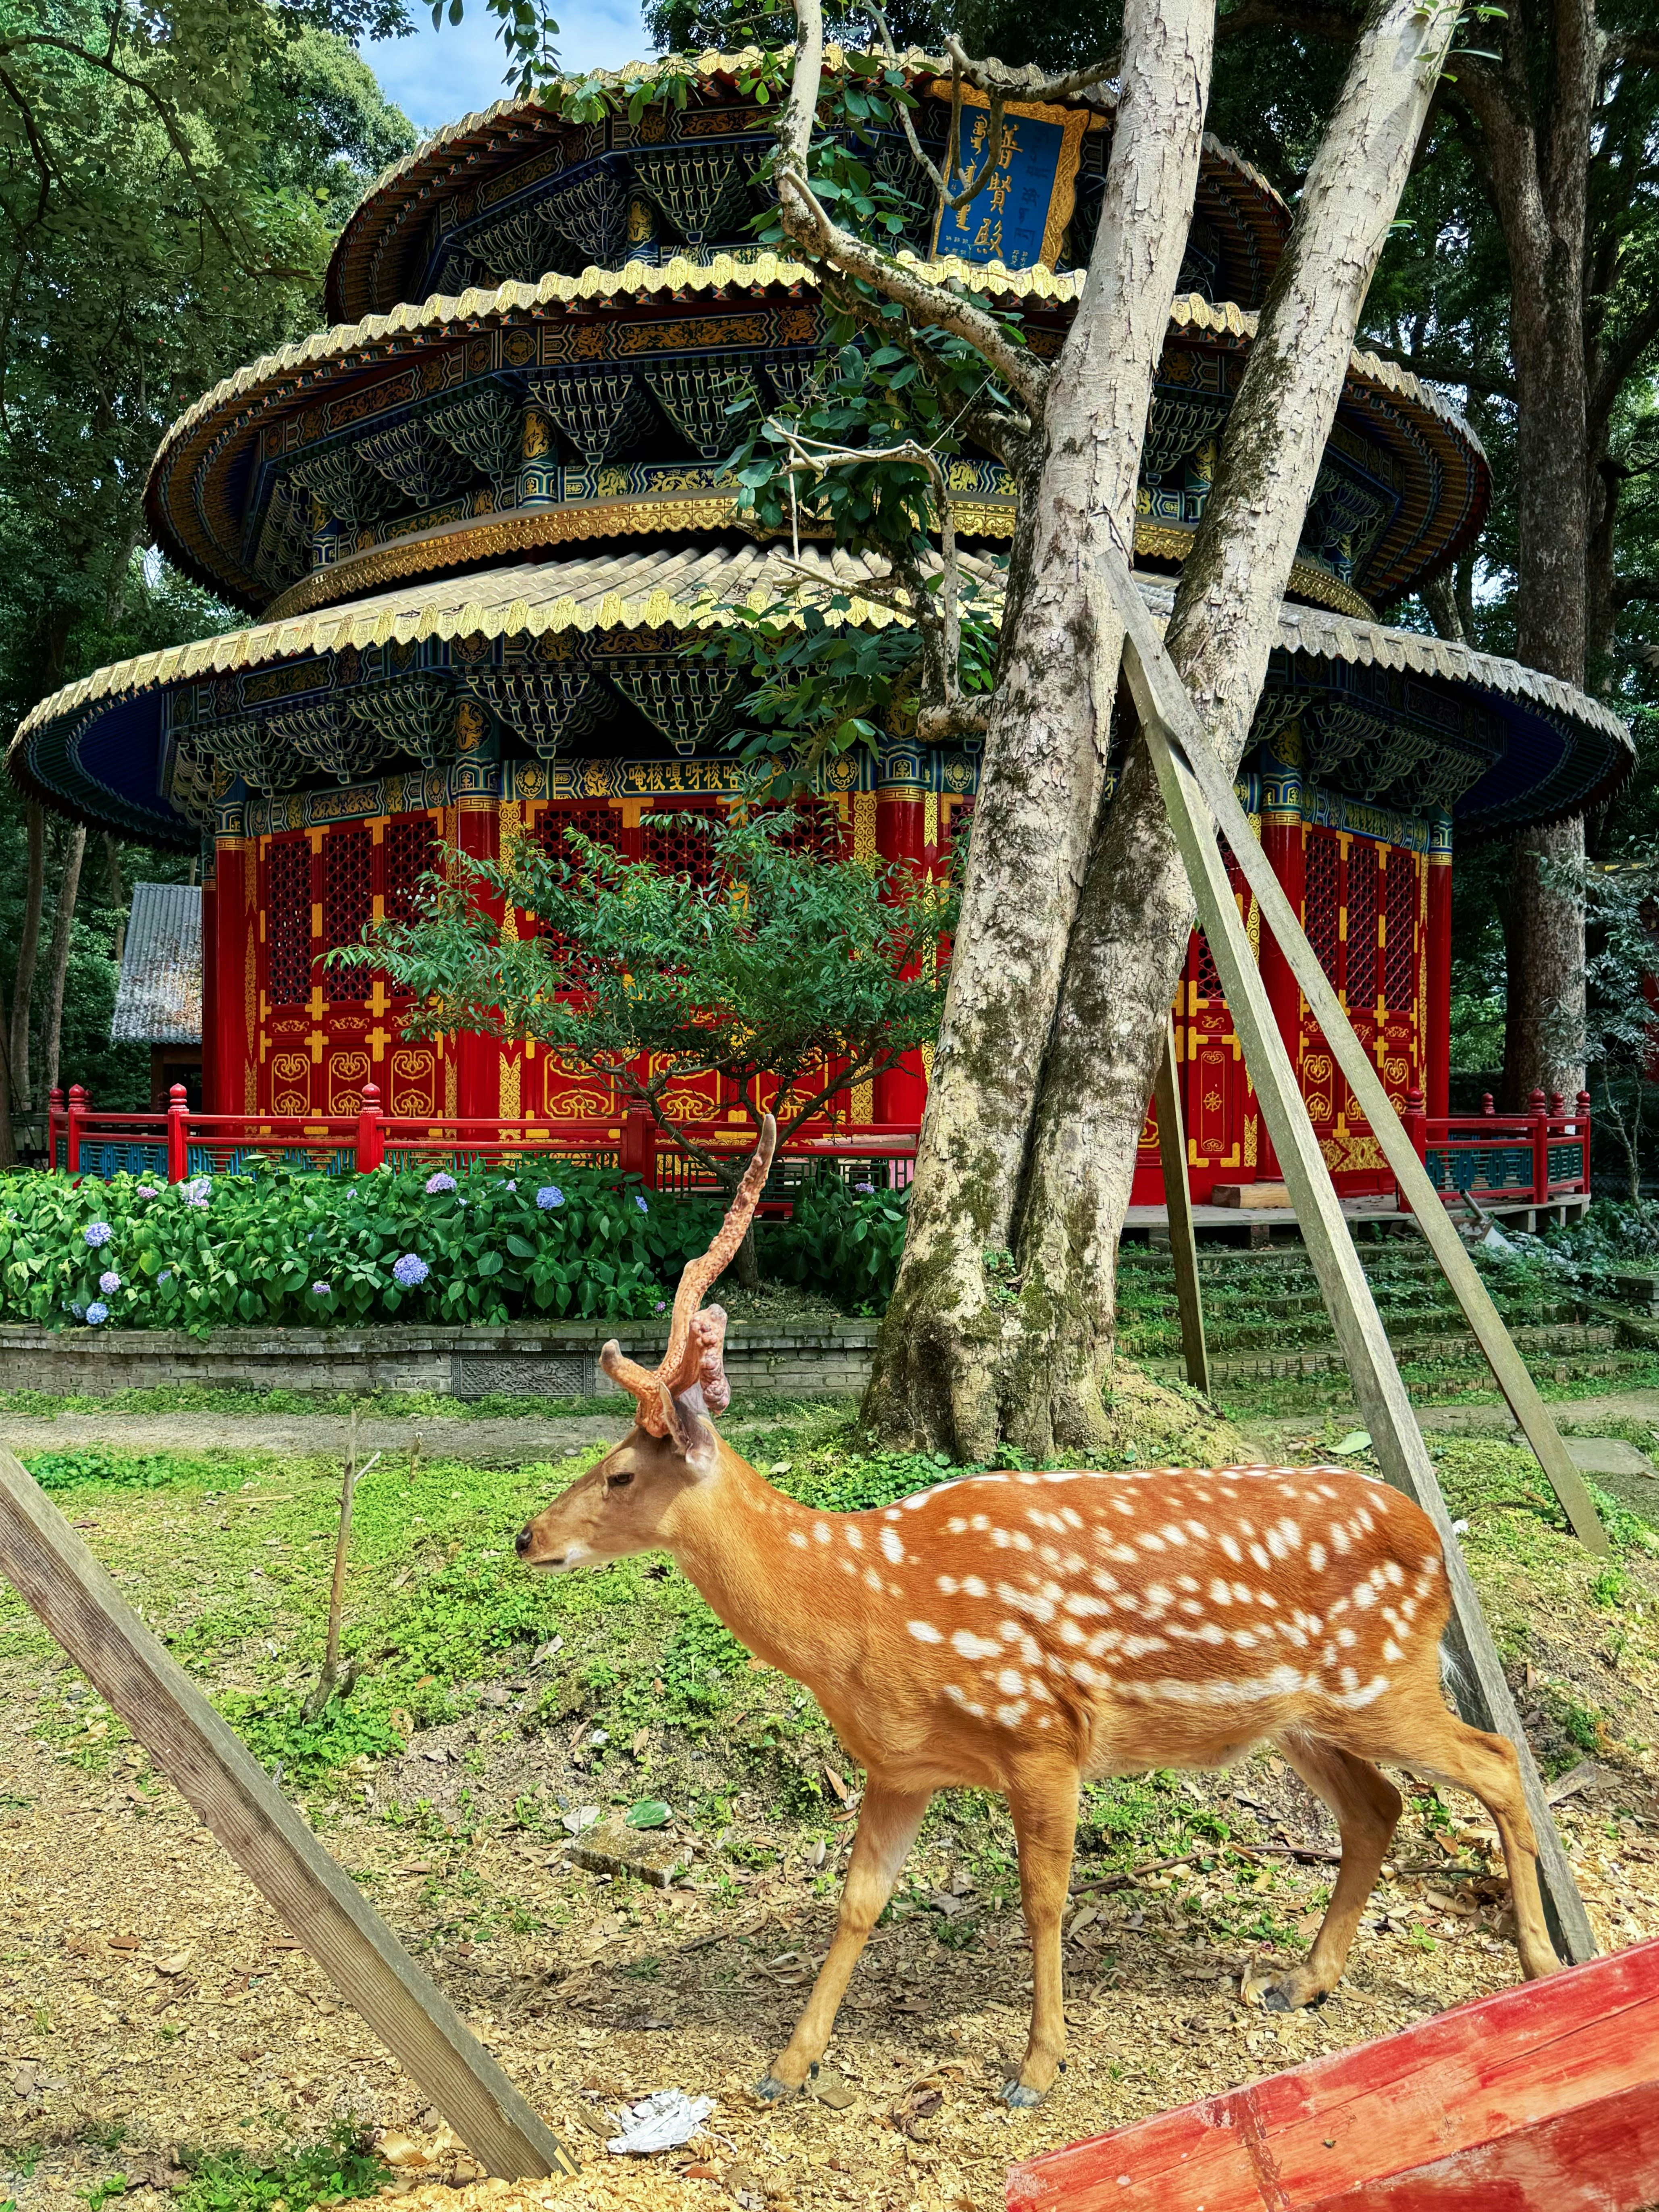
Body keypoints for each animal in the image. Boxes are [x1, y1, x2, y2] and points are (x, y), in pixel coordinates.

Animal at [515, 1117, 1560, 2107]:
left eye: (620, 1472)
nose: (528, 1536)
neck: (866, 1612)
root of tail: (1436, 1539)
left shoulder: (1043, 1731)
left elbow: (1044, 1899)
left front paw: (1037, 2066)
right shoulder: (900, 1766)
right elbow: (858, 1901)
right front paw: (789, 2063)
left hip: (1380, 1676)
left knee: (1497, 1761)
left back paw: (1541, 1960)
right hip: (1301, 1713)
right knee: (1380, 1806)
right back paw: (1303, 1981)